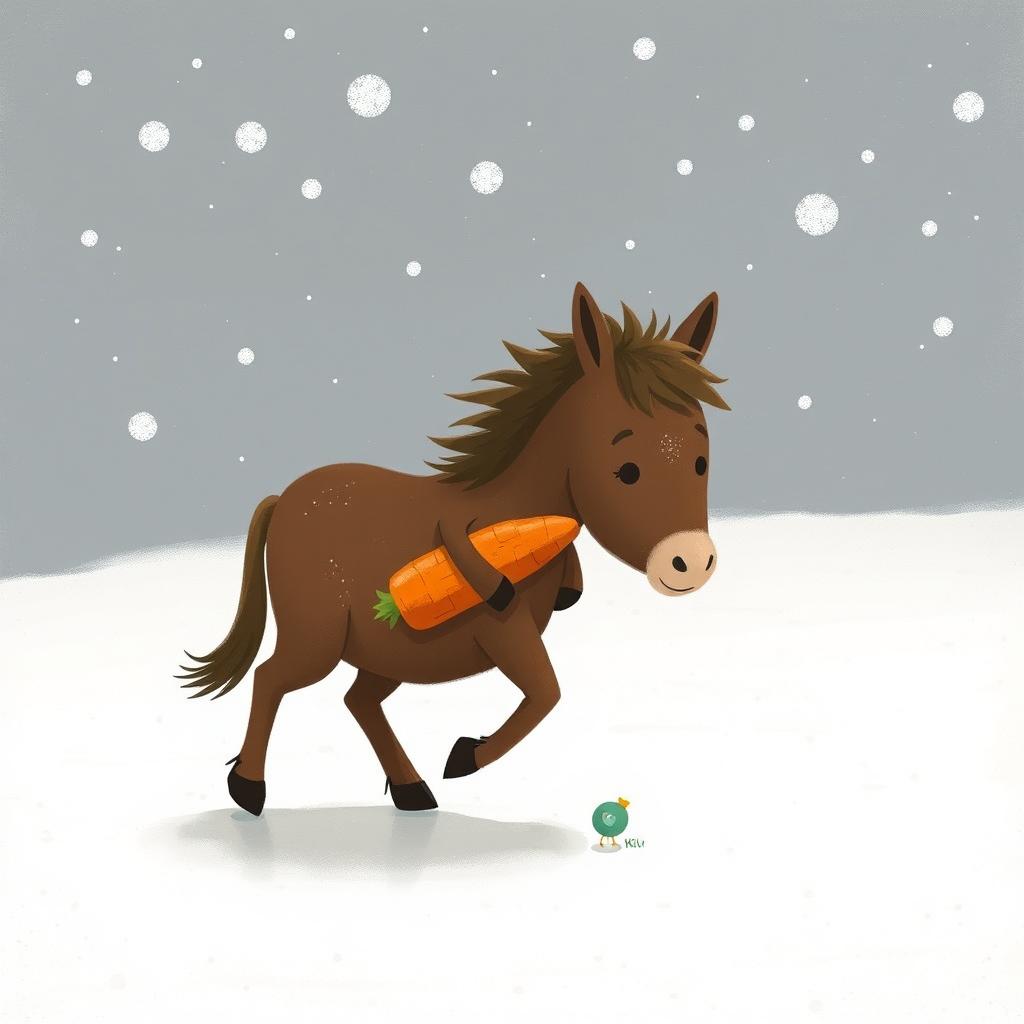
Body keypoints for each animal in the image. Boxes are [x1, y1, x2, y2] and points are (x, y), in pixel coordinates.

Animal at [176, 282, 730, 815]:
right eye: (627, 471)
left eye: (702, 461)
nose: (690, 562)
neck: (519, 505)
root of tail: (283, 497)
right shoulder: (506, 629)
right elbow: (544, 693)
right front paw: (465, 756)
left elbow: (543, 693)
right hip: (317, 640)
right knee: (270, 679)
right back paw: (248, 789)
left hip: (389, 650)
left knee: (358, 701)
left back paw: (411, 790)